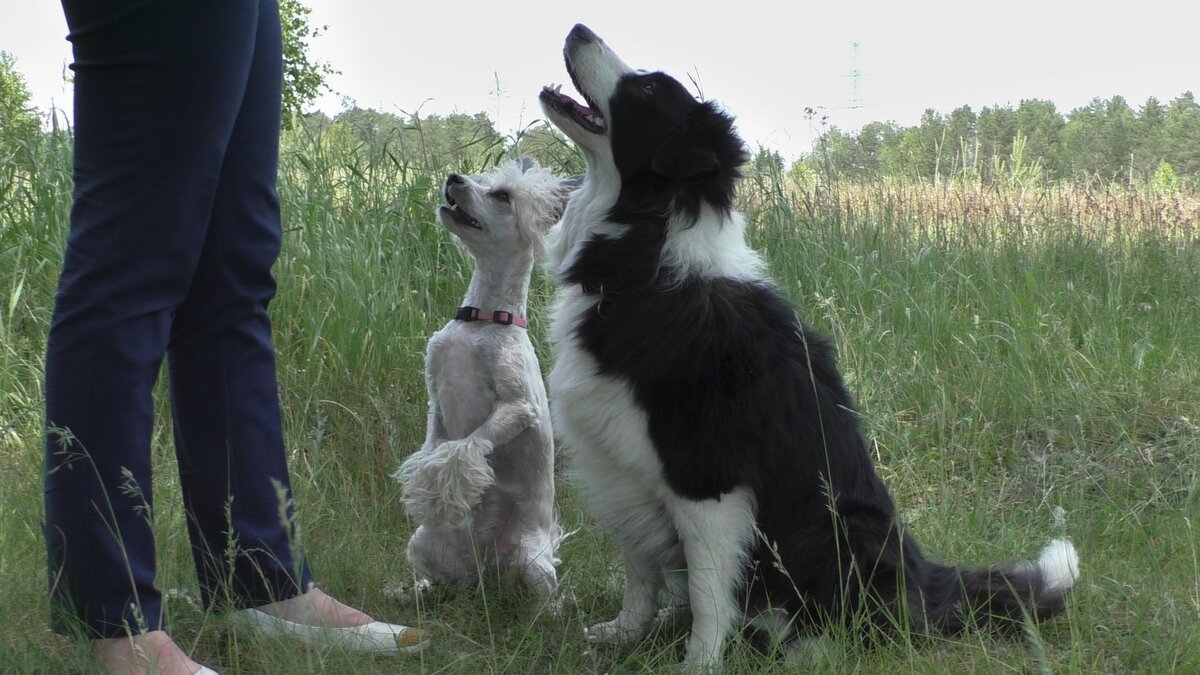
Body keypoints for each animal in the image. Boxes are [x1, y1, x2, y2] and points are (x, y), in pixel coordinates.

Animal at [396, 158, 578, 605]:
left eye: (502, 196)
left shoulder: (517, 406)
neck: (481, 320)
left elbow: (464, 448)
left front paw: (437, 486)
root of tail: (487, 570)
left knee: (546, 600)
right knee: (445, 584)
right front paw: (424, 479)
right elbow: (434, 445)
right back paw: (415, 593)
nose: (453, 179)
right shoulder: (435, 396)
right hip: (424, 544)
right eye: (481, 179)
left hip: (531, 563)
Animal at [540, 23, 1084, 662]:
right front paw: (625, 633)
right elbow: (639, 570)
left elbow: (708, 592)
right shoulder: (619, 464)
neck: (646, 257)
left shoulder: (707, 477)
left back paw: (804, 647)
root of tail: (929, 587)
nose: (578, 29)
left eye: (648, 89)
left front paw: (699, 662)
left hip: (839, 531)